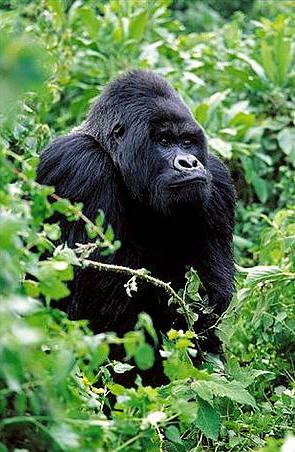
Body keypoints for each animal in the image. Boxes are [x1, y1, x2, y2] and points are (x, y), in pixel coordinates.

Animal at [37, 70, 236, 356]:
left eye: (187, 142)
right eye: (164, 141)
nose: (189, 162)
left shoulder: (217, 179)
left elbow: (209, 308)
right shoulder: (80, 165)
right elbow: (92, 307)